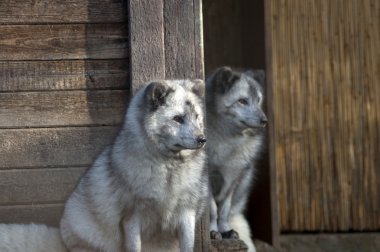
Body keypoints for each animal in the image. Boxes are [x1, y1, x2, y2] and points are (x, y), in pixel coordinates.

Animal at [59, 79, 209, 252]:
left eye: (197, 117)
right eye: (177, 118)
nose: (202, 139)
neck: (169, 168)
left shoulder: (187, 213)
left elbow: (188, 246)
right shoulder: (131, 218)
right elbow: (134, 247)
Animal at [205, 67, 268, 252]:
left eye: (258, 101)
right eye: (242, 101)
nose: (265, 120)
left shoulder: (234, 178)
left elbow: (224, 210)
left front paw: (225, 231)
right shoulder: (208, 179)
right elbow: (213, 209)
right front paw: (212, 232)